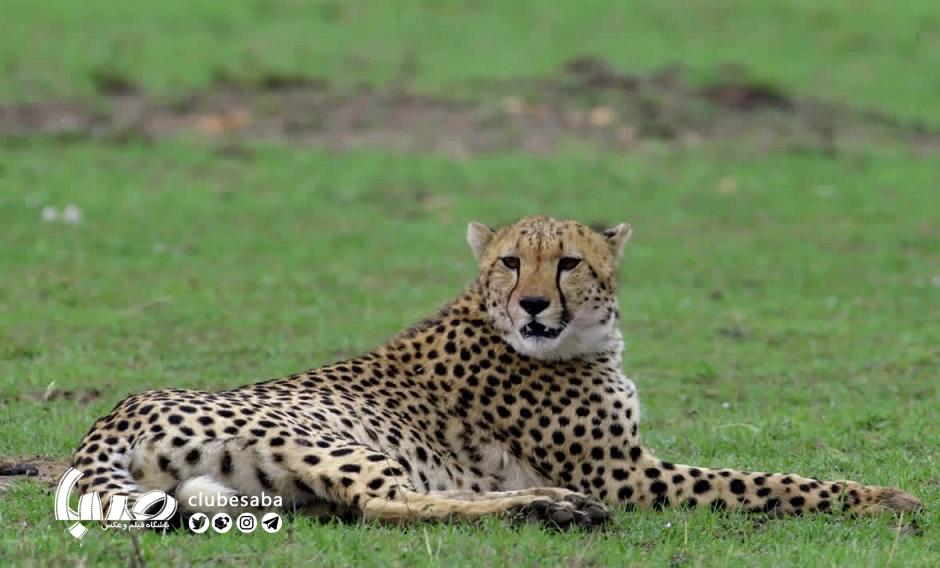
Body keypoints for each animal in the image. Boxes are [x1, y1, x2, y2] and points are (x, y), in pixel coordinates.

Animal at [71, 214, 916, 528]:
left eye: (568, 261)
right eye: (512, 261)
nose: (536, 303)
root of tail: (118, 408)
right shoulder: (626, 475)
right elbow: (765, 482)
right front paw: (880, 497)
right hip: (333, 437)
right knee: (390, 504)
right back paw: (552, 506)